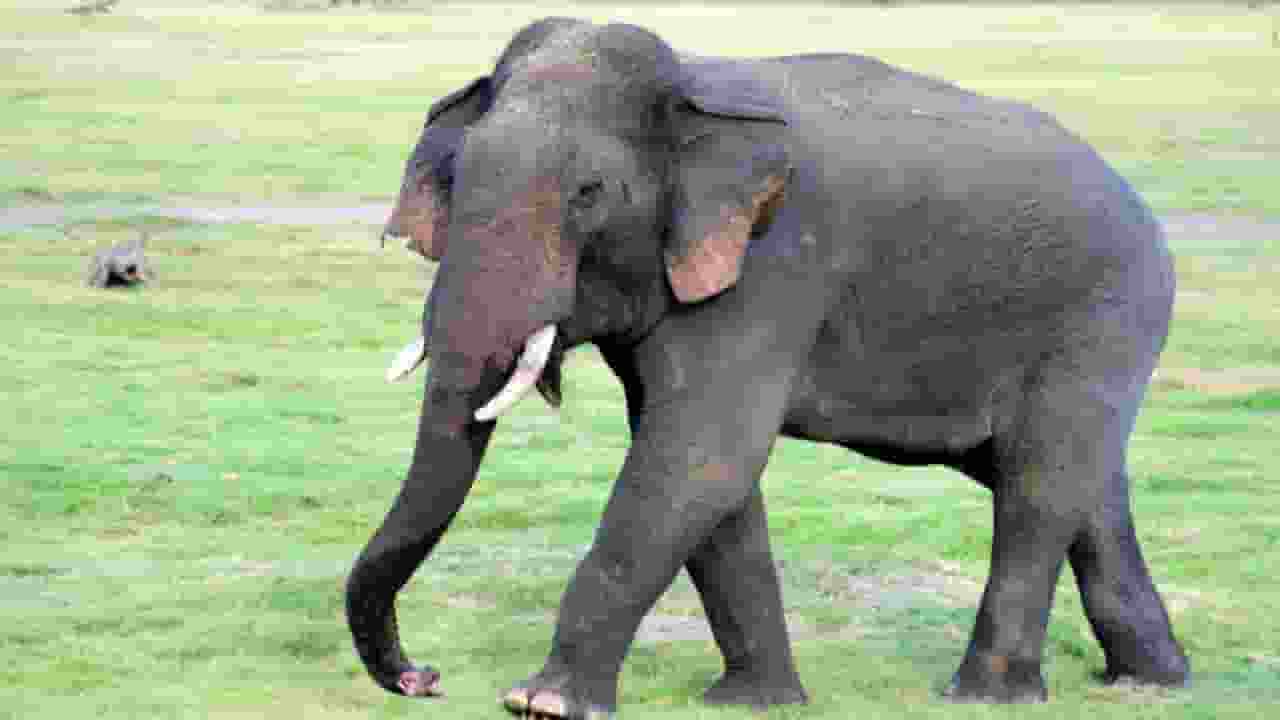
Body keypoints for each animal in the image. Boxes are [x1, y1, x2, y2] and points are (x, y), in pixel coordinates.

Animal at [347, 17, 1189, 716]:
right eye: (455, 179)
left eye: (588, 194)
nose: (423, 677)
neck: (691, 85)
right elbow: (705, 474)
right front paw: (755, 704)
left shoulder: (774, 267)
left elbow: (700, 456)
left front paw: (542, 705)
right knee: (1084, 485)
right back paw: (1152, 681)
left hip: (1104, 316)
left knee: (1037, 487)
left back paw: (986, 696)